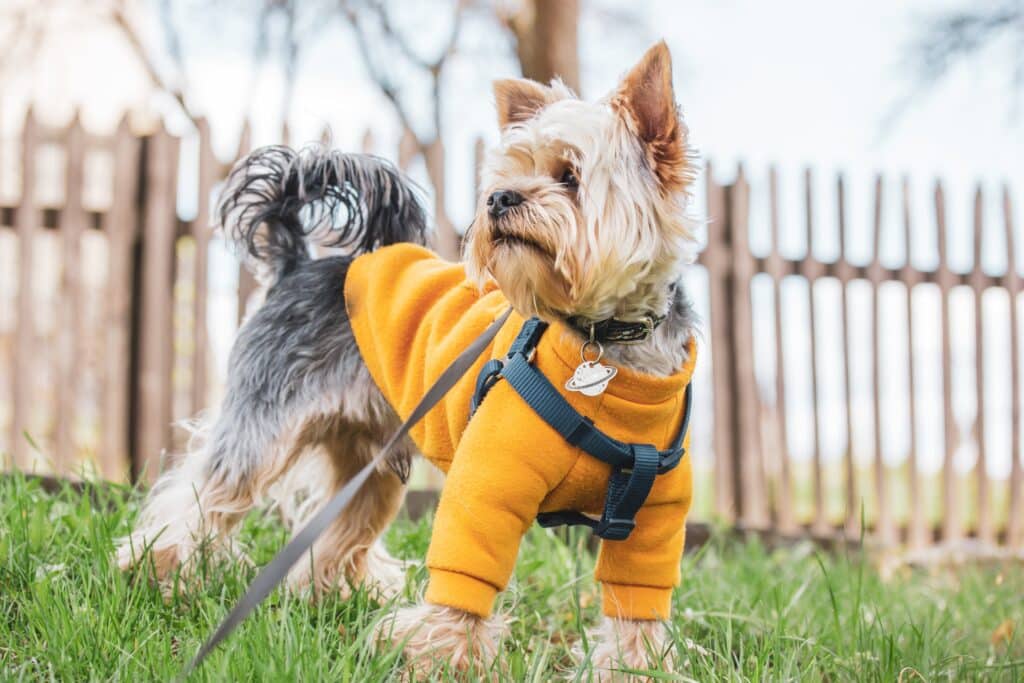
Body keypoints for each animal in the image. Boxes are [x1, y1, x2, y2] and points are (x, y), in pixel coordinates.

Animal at [116, 41, 700, 679]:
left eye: (569, 176)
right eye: (509, 174)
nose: (498, 199)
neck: (606, 346)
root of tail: (298, 263)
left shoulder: (653, 515)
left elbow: (638, 601)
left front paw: (637, 667)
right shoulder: (488, 479)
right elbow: (465, 571)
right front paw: (438, 656)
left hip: (370, 455)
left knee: (346, 525)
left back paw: (338, 594)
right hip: (262, 423)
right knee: (207, 494)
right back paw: (161, 571)